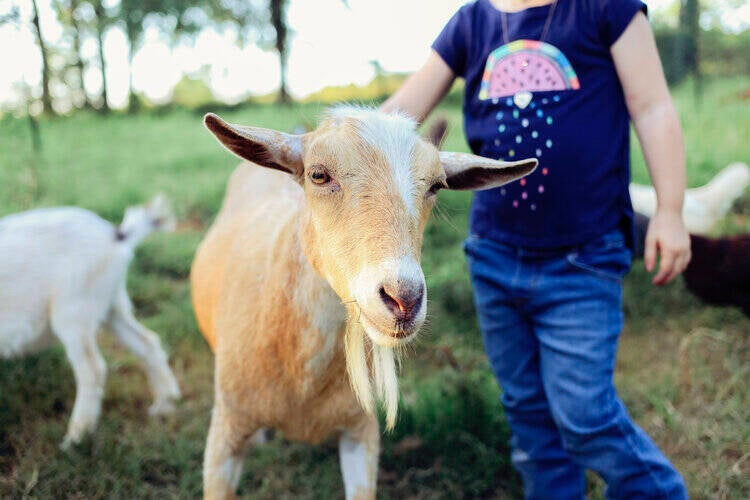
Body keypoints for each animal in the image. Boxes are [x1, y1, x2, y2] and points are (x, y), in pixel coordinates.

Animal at [0, 194, 181, 449]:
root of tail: (116, 235)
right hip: (112, 305)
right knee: (148, 342)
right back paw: (164, 405)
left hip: (74, 311)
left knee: (92, 369)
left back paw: (76, 438)